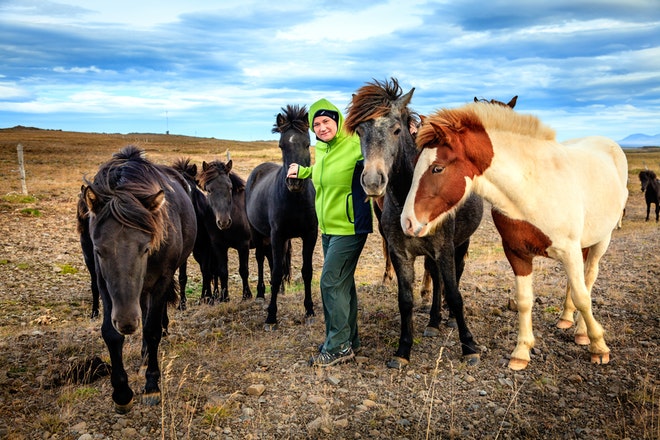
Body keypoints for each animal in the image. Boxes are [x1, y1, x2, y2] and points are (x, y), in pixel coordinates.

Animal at [82, 148, 196, 412]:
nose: (126, 322)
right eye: (99, 250)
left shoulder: (161, 281)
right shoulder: (105, 284)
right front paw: (122, 392)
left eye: (145, 248)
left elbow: (152, 329)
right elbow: (111, 334)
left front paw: (152, 385)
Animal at [196, 159, 253, 302]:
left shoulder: (243, 245)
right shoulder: (218, 246)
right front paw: (224, 297)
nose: (224, 222)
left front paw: (247, 295)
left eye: (230, 188)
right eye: (209, 190)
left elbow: (244, 270)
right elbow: (222, 272)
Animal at [248, 104, 320, 330]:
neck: (295, 200)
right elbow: (276, 272)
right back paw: (261, 294)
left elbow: (306, 271)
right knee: (261, 259)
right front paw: (271, 316)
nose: (294, 182)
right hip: (258, 233)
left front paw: (309, 311)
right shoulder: (277, 234)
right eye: (281, 146)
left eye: (307, 144)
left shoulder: (309, 234)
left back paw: (278, 291)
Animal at [346, 79, 484, 368]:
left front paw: (469, 346)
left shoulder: (444, 248)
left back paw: (449, 320)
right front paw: (403, 350)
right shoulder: (401, 253)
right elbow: (406, 300)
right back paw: (433, 321)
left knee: (455, 273)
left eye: (397, 130)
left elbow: (455, 295)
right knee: (436, 278)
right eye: (360, 131)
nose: (373, 182)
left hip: (461, 242)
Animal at [400, 101, 628, 370]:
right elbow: (524, 300)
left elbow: (583, 296)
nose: (407, 221)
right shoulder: (517, 254)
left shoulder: (569, 250)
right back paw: (565, 318)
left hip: (601, 240)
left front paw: (599, 346)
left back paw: (583, 332)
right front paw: (521, 352)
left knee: (589, 279)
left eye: (437, 168)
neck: (533, 187)